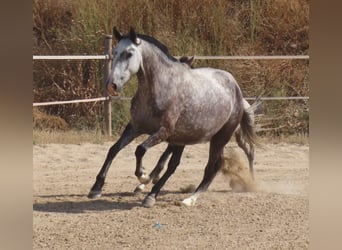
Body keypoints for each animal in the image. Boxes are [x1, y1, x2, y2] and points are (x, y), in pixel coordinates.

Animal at [88, 27, 256, 207]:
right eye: (114, 52)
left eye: (129, 53)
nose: (111, 86)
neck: (160, 88)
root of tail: (236, 89)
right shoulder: (135, 127)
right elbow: (113, 150)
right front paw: (96, 188)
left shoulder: (164, 131)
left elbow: (140, 149)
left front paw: (143, 176)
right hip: (186, 138)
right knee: (176, 166)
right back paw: (153, 195)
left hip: (221, 137)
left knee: (212, 166)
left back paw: (189, 199)